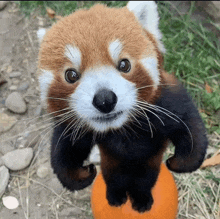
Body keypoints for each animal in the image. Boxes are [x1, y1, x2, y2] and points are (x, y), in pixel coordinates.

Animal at [37, 1, 208, 213]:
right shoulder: (74, 125)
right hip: (111, 163)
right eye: (71, 75)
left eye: (124, 65)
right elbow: (64, 149)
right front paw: (78, 175)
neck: (120, 129)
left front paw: (183, 161)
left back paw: (141, 200)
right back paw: (115, 196)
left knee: (145, 178)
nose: (104, 100)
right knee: (113, 176)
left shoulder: (166, 103)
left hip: (149, 164)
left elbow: (188, 123)